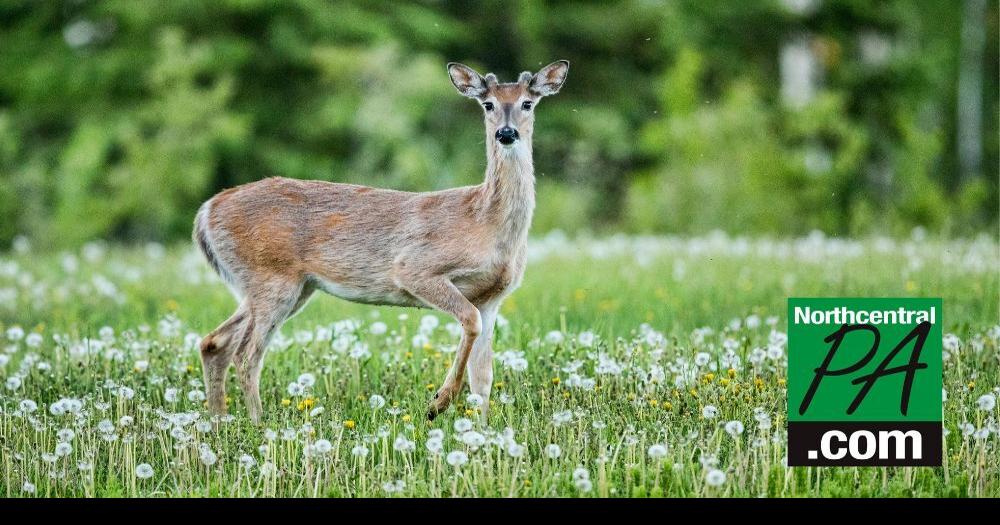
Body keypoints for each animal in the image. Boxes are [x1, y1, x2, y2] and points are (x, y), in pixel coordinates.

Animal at [193, 60, 569, 423]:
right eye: (488, 104)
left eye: (527, 103)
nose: (506, 133)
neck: (485, 222)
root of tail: (207, 211)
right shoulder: (415, 268)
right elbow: (469, 322)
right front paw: (438, 403)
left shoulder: (492, 298)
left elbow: (484, 377)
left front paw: (482, 432)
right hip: (271, 276)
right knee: (246, 355)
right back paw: (258, 425)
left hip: (287, 286)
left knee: (214, 343)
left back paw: (219, 422)